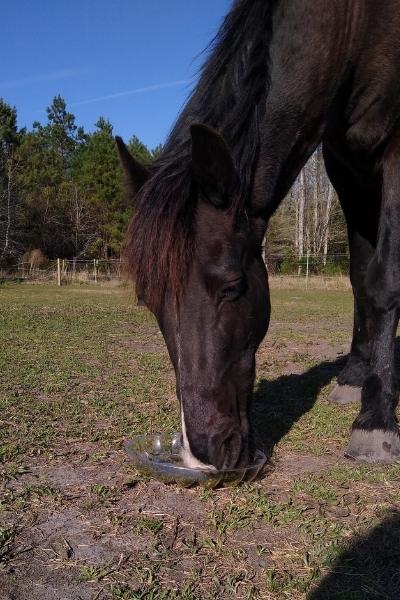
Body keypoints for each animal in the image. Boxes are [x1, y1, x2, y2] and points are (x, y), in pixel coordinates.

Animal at [117, 0, 400, 468]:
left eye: (232, 287)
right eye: (147, 300)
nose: (203, 453)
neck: (358, 24)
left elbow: (385, 280)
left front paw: (376, 420)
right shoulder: (346, 165)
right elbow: (362, 276)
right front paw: (356, 377)